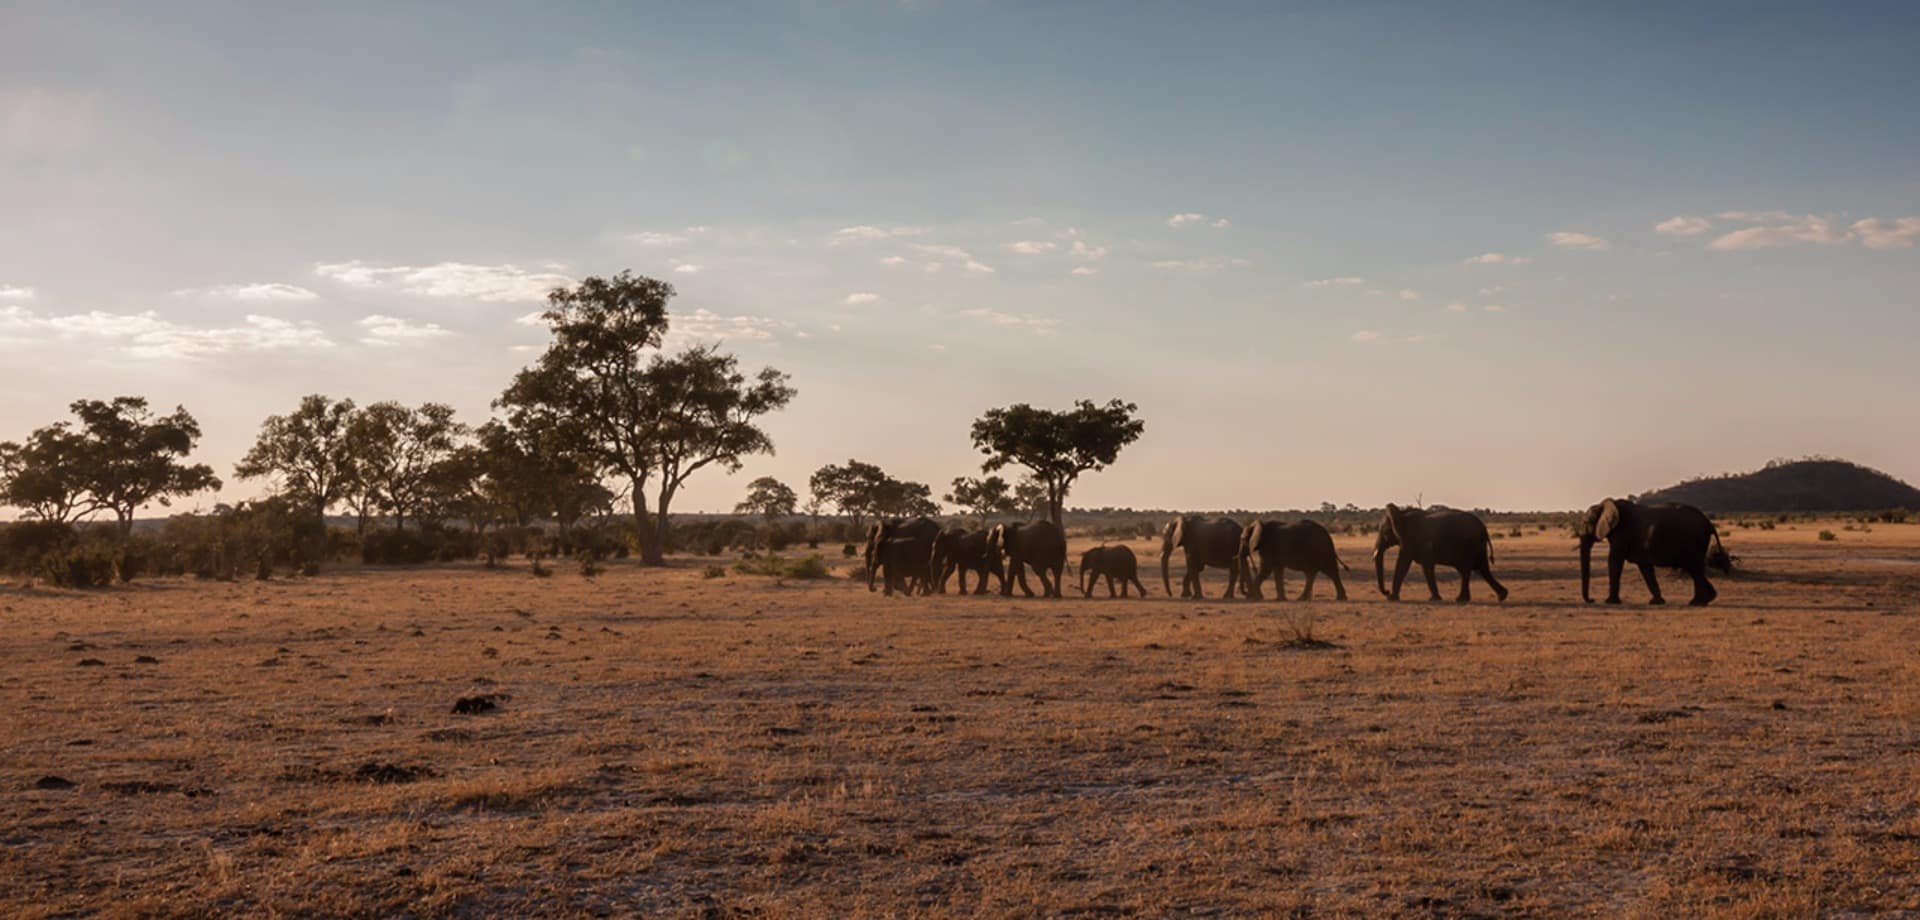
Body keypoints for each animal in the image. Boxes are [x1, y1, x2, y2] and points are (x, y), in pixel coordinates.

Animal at [1374, 503, 1505, 606]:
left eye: (1385, 532)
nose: (1386, 591)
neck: (1401, 513)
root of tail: (1484, 528)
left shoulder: (1408, 540)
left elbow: (1403, 564)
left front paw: (1391, 598)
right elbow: (1427, 567)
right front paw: (1434, 599)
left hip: (1468, 545)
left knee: (1467, 570)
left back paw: (1461, 600)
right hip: (1477, 546)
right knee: (1482, 569)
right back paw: (1502, 596)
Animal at [1582, 499, 1735, 606]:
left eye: (1586, 523)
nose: (1592, 600)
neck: (1604, 505)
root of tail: (1708, 523)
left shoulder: (1621, 534)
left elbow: (1614, 561)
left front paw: (1610, 602)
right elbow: (1645, 567)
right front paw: (1657, 602)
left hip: (1693, 541)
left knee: (1694, 568)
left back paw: (1697, 602)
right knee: (1694, 569)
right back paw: (1706, 599)